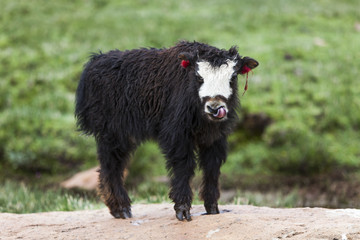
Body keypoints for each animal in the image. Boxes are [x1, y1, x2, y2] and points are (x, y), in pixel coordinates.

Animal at [74, 40, 258, 221]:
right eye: (199, 77)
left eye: (232, 77)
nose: (214, 108)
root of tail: (93, 63)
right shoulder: (177, 135)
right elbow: (183, 166)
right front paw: (183, 211)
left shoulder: (215, 138)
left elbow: (212, 167)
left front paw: (212, 208)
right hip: (112, 133)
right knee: (111, 166)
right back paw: (122, 209)